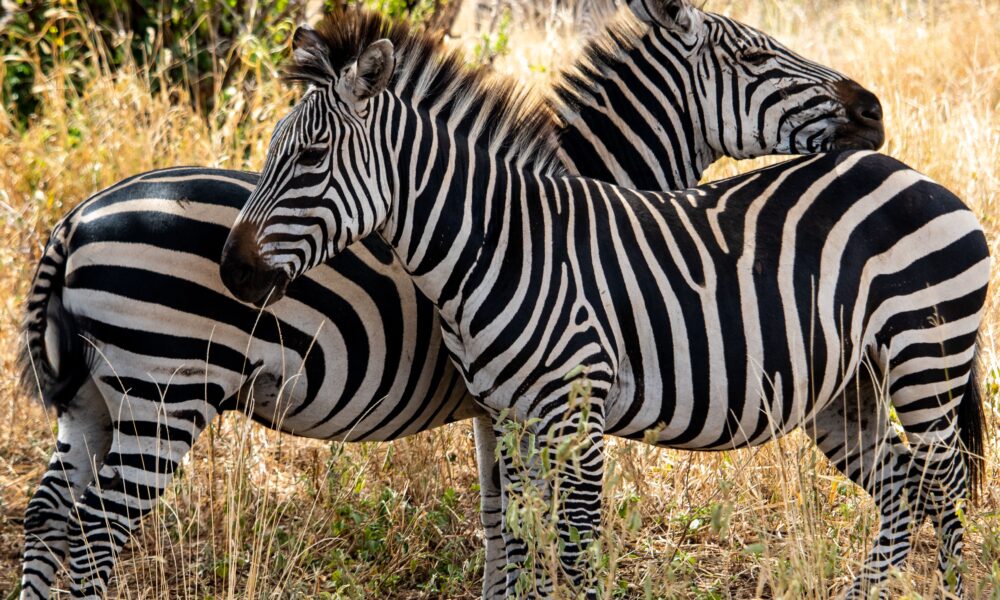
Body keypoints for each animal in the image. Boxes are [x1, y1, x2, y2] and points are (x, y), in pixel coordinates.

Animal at [17, 1, 887, 597]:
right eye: (758, 53)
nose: (873, 109)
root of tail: (76, 216)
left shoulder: (497, 406)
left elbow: (501, 523)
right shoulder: (516, 401)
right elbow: (519, 527)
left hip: (94, 399)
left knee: (49, 513)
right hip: (166, 393)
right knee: (95, 531)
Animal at [220, 9, 988, 599]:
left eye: (311, 158)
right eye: (754, 54)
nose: (233, 270)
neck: (497, 241)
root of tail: (915, 174)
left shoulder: (577, 414)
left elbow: (571, 546)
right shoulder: (509, 418)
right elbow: (518, 535)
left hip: (925, 356)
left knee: (942, 482)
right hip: (849, 386)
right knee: (903, 484)